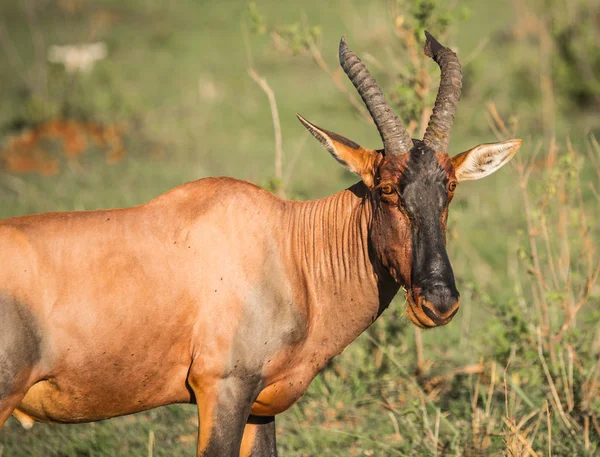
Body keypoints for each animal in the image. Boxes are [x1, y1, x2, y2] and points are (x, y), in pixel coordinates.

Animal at [0, 31, 520, 452]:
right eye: (387, 189)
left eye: (449, 188)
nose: (439, 303)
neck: (286, 245)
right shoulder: (222, 390)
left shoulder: (259, 404)